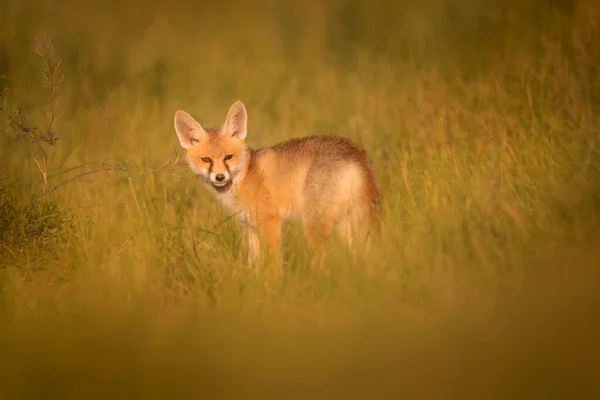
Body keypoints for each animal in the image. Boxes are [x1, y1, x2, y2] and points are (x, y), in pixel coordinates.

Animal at [173, 100, 380, 268]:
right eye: (206, 159)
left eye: (228, 157)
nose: (220, 177)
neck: (245, 176)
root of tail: (354, 153)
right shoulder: (252, 228)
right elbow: (254, 265)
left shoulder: (270, 221)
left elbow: (272, 265)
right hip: (345, 225)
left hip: (314, 224)